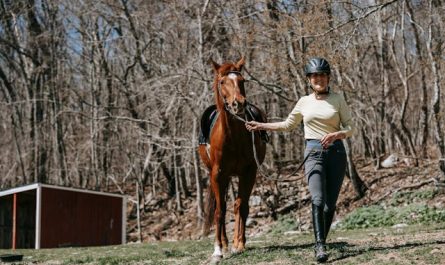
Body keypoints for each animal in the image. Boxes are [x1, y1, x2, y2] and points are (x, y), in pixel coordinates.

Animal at [199, 56, 268, 260]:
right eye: (222, 82)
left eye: (242, 80)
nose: (239, 103)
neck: (233, 137)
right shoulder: (218, 174)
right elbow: (220, 210)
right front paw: (218, 249)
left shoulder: (249, 172)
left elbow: (241, 206)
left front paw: (240, 244)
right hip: (219, 176)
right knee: (219, 206)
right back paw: (224, 243)